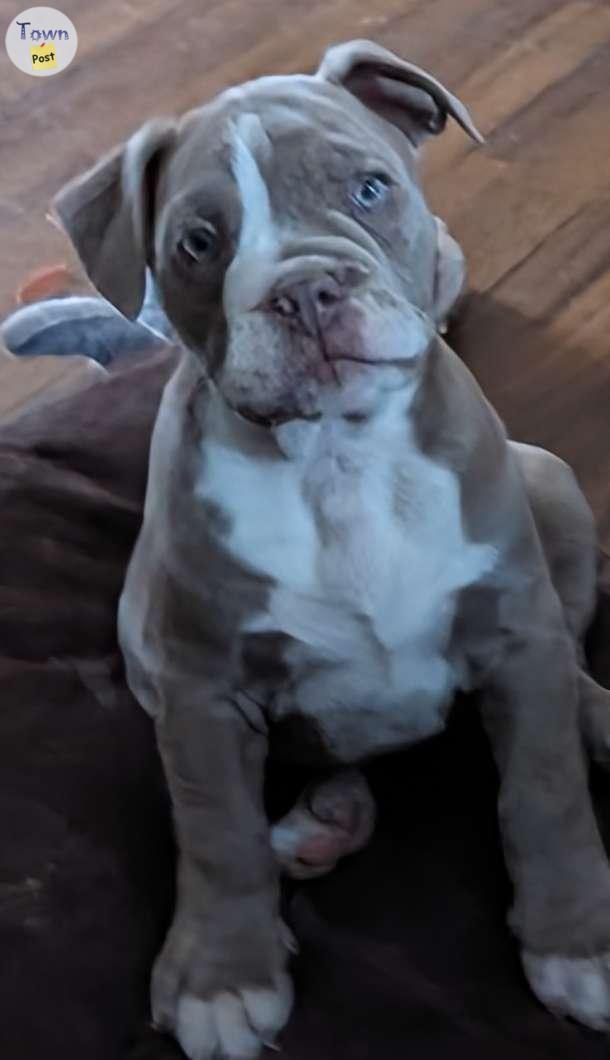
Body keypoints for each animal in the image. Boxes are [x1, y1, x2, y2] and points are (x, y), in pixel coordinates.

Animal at [51, 39, 610, 1060]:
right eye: (199, 243)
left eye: (369, 189)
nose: (305, 290)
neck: (339, 458)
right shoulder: (200, 688)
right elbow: (217, 832)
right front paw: (223, 980)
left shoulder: (516, 634)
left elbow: (543, 792)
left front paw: (575, 942)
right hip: (140, 637)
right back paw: (323, 823)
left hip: (550, 484)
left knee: (571, 652)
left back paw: (594, 715)